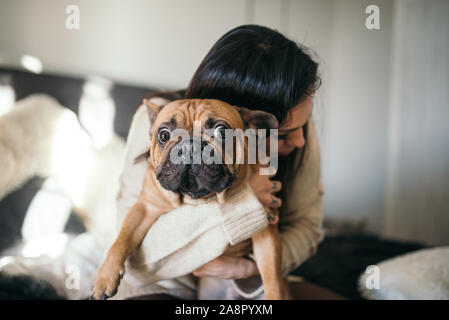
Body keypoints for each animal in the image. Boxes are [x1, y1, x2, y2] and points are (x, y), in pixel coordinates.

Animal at [89, 99, 288, 298]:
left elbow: (272, 274)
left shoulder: (265, 229)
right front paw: (104, 277)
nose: (190, 146)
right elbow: (122, 239)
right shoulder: (144, 208)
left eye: (222, 132)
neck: (196, 199)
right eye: (163, 135)